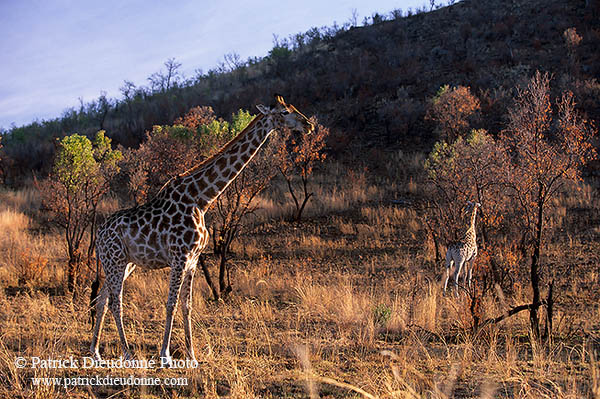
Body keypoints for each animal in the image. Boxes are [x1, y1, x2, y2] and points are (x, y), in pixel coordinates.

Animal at [90, 96, 314, 366]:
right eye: (284, 112)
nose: (309, 125)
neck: (202, 199)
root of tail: (99, 233)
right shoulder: (179, 257)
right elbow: (171, 304)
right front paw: (165, 356)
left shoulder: (193, 260)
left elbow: (187, 306)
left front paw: (192, 356)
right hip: (115, 260)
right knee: (116, 301)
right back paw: (128, 354)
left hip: (125, 263)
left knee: (102, 299)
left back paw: (95, 352)